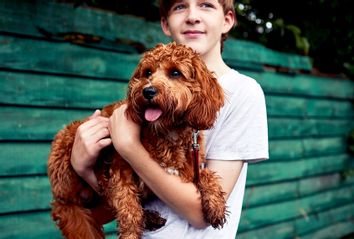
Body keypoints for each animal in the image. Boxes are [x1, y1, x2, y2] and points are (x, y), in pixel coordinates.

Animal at [47, 42, 227, 238]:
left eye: (175, 73)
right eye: (147, 72)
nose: (148, 91)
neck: (166, 131)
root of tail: (61, 198)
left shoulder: (190, 168)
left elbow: (206, 173)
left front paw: (216, 204)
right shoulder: (119, 172)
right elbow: (129, 211)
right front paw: (130, 234)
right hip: (66, 150)